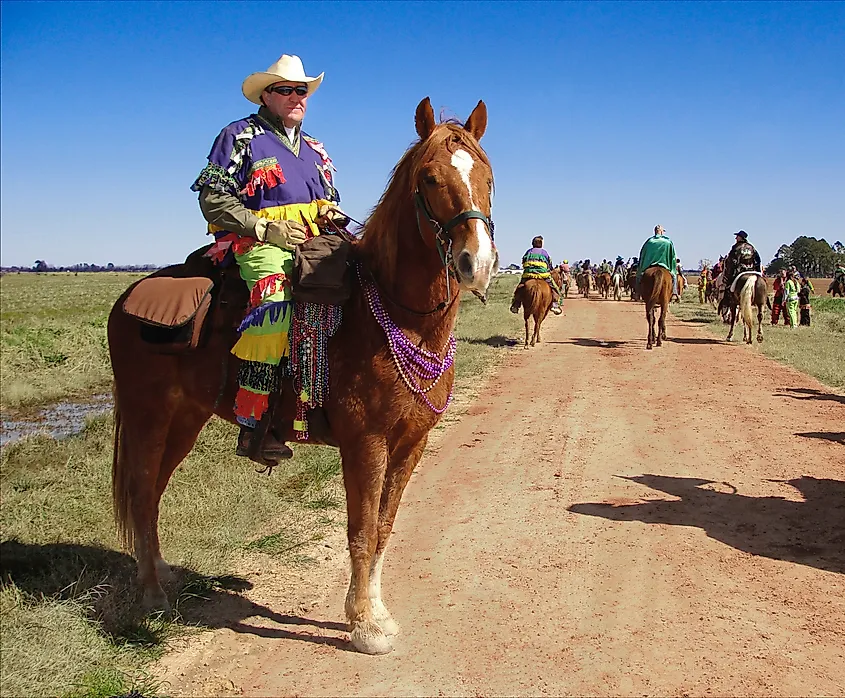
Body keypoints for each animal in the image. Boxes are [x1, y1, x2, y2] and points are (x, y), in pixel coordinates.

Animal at [108, 98, 497, 655]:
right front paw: (363, 624)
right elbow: (360, 530)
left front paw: (376, 612)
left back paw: (160, 569)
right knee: (141, 491)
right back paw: (152, 594)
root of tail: (127, 299)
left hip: (184, 419)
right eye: (429, 178)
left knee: (153, 491)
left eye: (488, 176)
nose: (476, 263)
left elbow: (384, 528)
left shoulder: (412, 443)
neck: (396, 318)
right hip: (148, 416)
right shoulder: (366, 442)